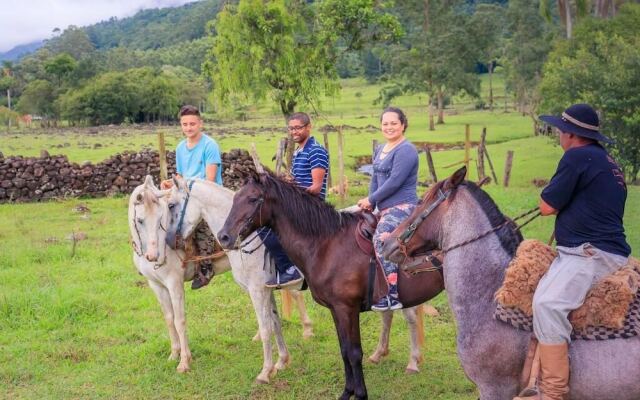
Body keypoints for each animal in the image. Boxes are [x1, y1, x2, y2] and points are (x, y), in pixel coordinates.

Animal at [127, 177, 310, 382]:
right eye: (140, 220)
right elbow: (169, 319)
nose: (156, 254)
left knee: (295, 295)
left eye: (166, 211)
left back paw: (307, 330)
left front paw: (184, 362)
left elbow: (180, 320)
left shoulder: (175, 284)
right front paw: (174, 354)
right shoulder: (157, 286)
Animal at [162, 177, 428, 374]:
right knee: (387, 315)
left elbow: (266, 328)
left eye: (172, 205)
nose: (170, 240)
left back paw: (413, 362)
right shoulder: (267, 290)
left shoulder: (257, 291)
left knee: (409, 317)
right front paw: (281, 362)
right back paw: (378, 354)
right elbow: (276, 324)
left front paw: (266, 371)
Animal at [218, 173, 442, 400]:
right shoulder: (336, 309)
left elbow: (354, 352)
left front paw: (360, 394)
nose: (223, 237)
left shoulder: (347, 309)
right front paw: (347, 392)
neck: (327, 245)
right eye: (235, 198)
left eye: (253, 199)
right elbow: (344, 350)